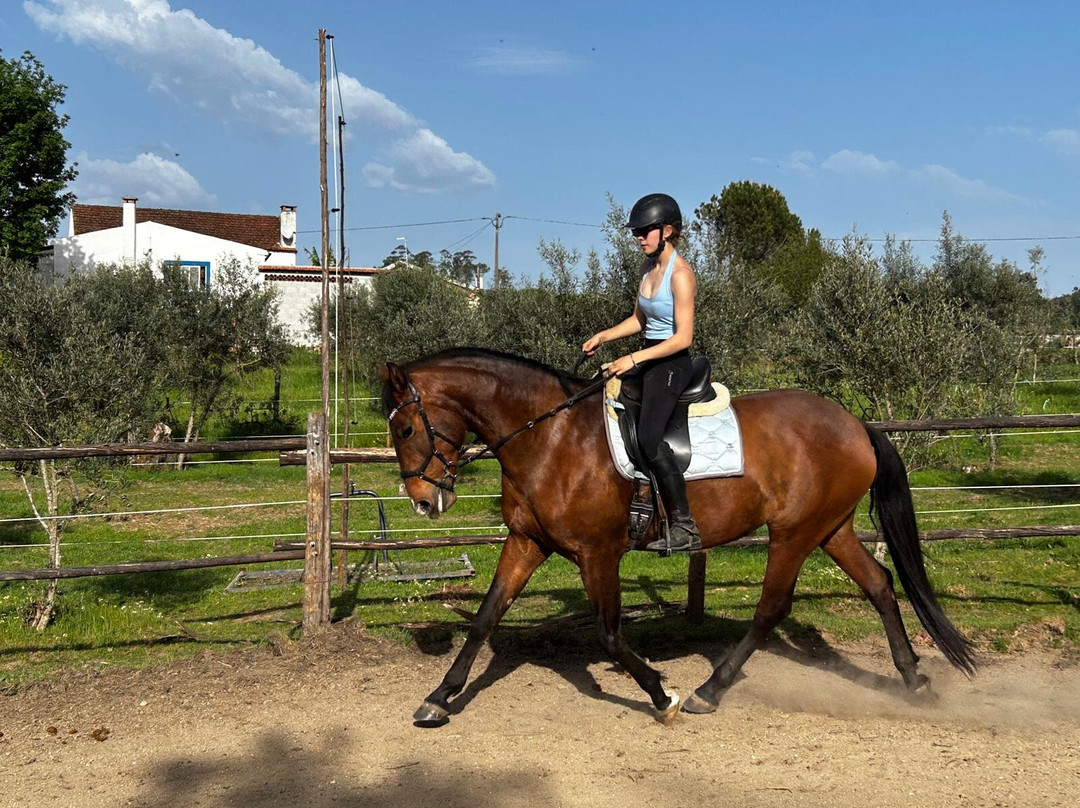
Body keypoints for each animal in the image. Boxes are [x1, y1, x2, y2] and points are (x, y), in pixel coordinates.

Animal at [378, 348, 976, 727]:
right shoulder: (527, 542)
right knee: (879, 584)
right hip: (831, 528)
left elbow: (610, 634)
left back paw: (707, 692)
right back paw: (912, 679)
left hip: (793, 533)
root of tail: (855, 424)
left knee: (772, 608)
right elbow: (485, 618)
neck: (550, 436)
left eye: (405, 428)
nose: (423, 502)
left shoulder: (599, 554)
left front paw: (661, 694)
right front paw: (439, 698)